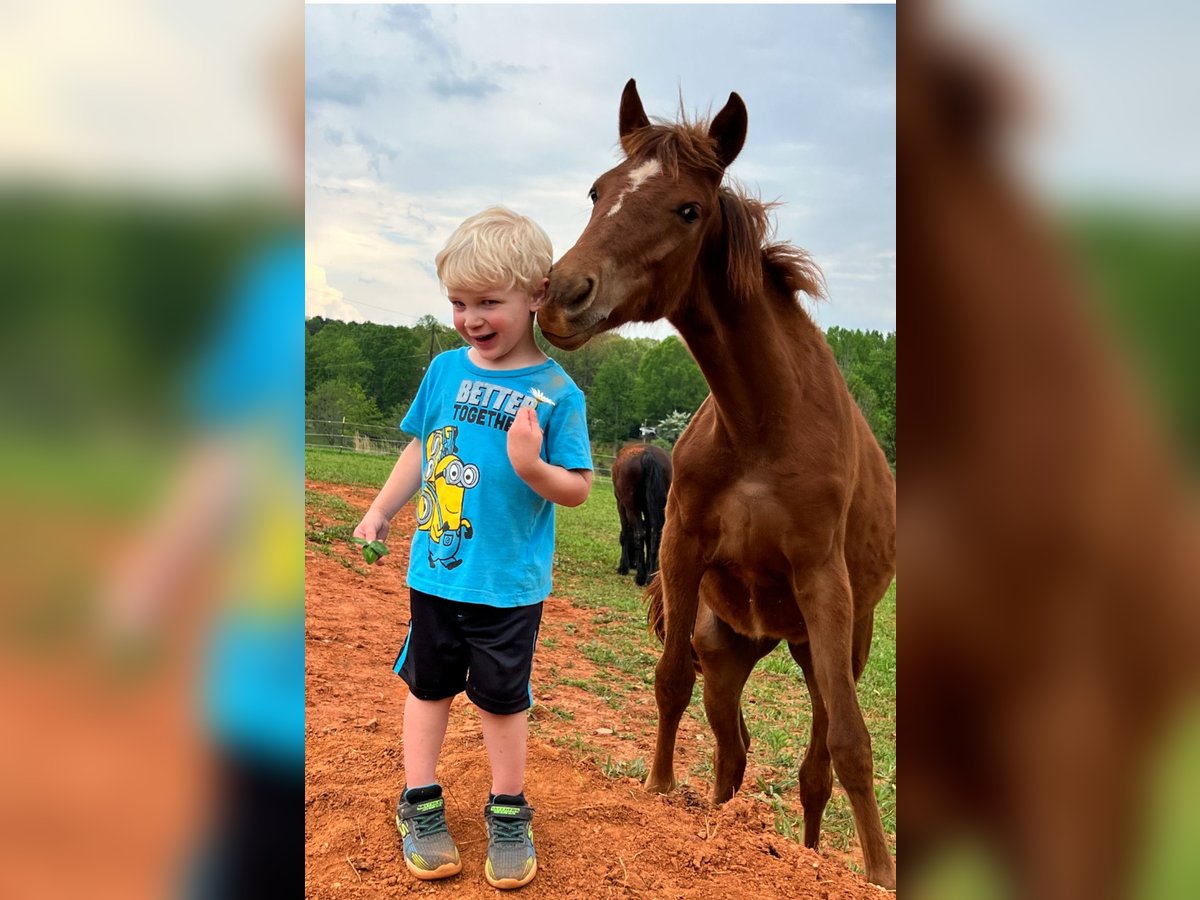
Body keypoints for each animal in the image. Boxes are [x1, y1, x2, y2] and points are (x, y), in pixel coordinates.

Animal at [614, 441, 672, 585]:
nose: (632, 564)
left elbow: (626, 534)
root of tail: (648, 454)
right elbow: (649, 536)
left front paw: (623, 567)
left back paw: (640, 577)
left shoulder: (621, 505)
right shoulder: (646, 509)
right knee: (656, 534)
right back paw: (650, 576)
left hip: (631, 508)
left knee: (639, 535)